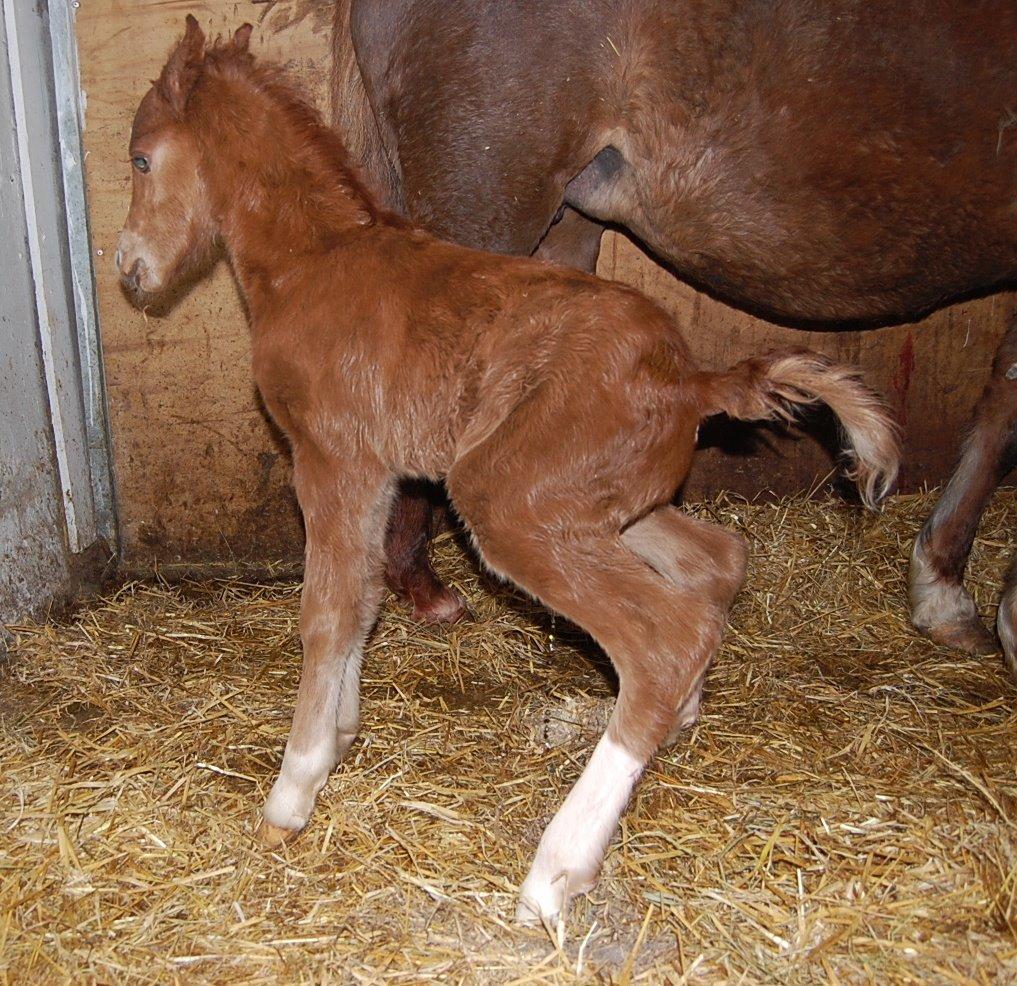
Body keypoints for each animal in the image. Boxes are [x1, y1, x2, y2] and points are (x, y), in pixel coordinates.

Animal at [117, 17, 899, 922]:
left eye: (141, 159)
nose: (129, 271)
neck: (312, 262)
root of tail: (689, 379)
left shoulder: (331, 461)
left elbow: (326, 610)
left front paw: (293, 790)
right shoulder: (375, 473)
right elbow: (363, 600)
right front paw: (341, 736)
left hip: (507, 500)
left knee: (662, 636)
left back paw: (556, 869)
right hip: (600, 502)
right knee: (714, 562)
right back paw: (677, 723)